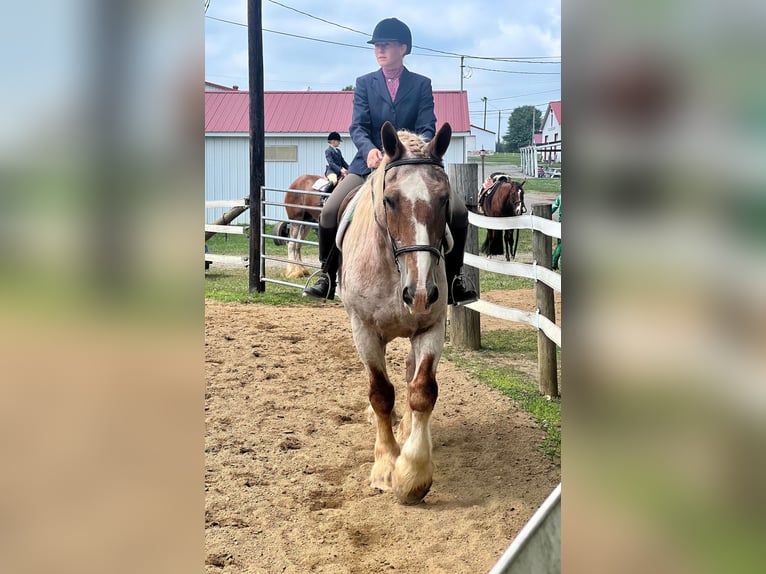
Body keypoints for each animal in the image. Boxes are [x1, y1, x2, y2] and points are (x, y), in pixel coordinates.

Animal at [340, 120, 452, 504]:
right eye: (390, 200)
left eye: (444, 199)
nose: (420, 294)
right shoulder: (364, 331)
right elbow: (380, 394)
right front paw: (386, 466)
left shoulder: (432, 326)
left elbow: (422, 390)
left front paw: (413, 474)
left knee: (408, 374)